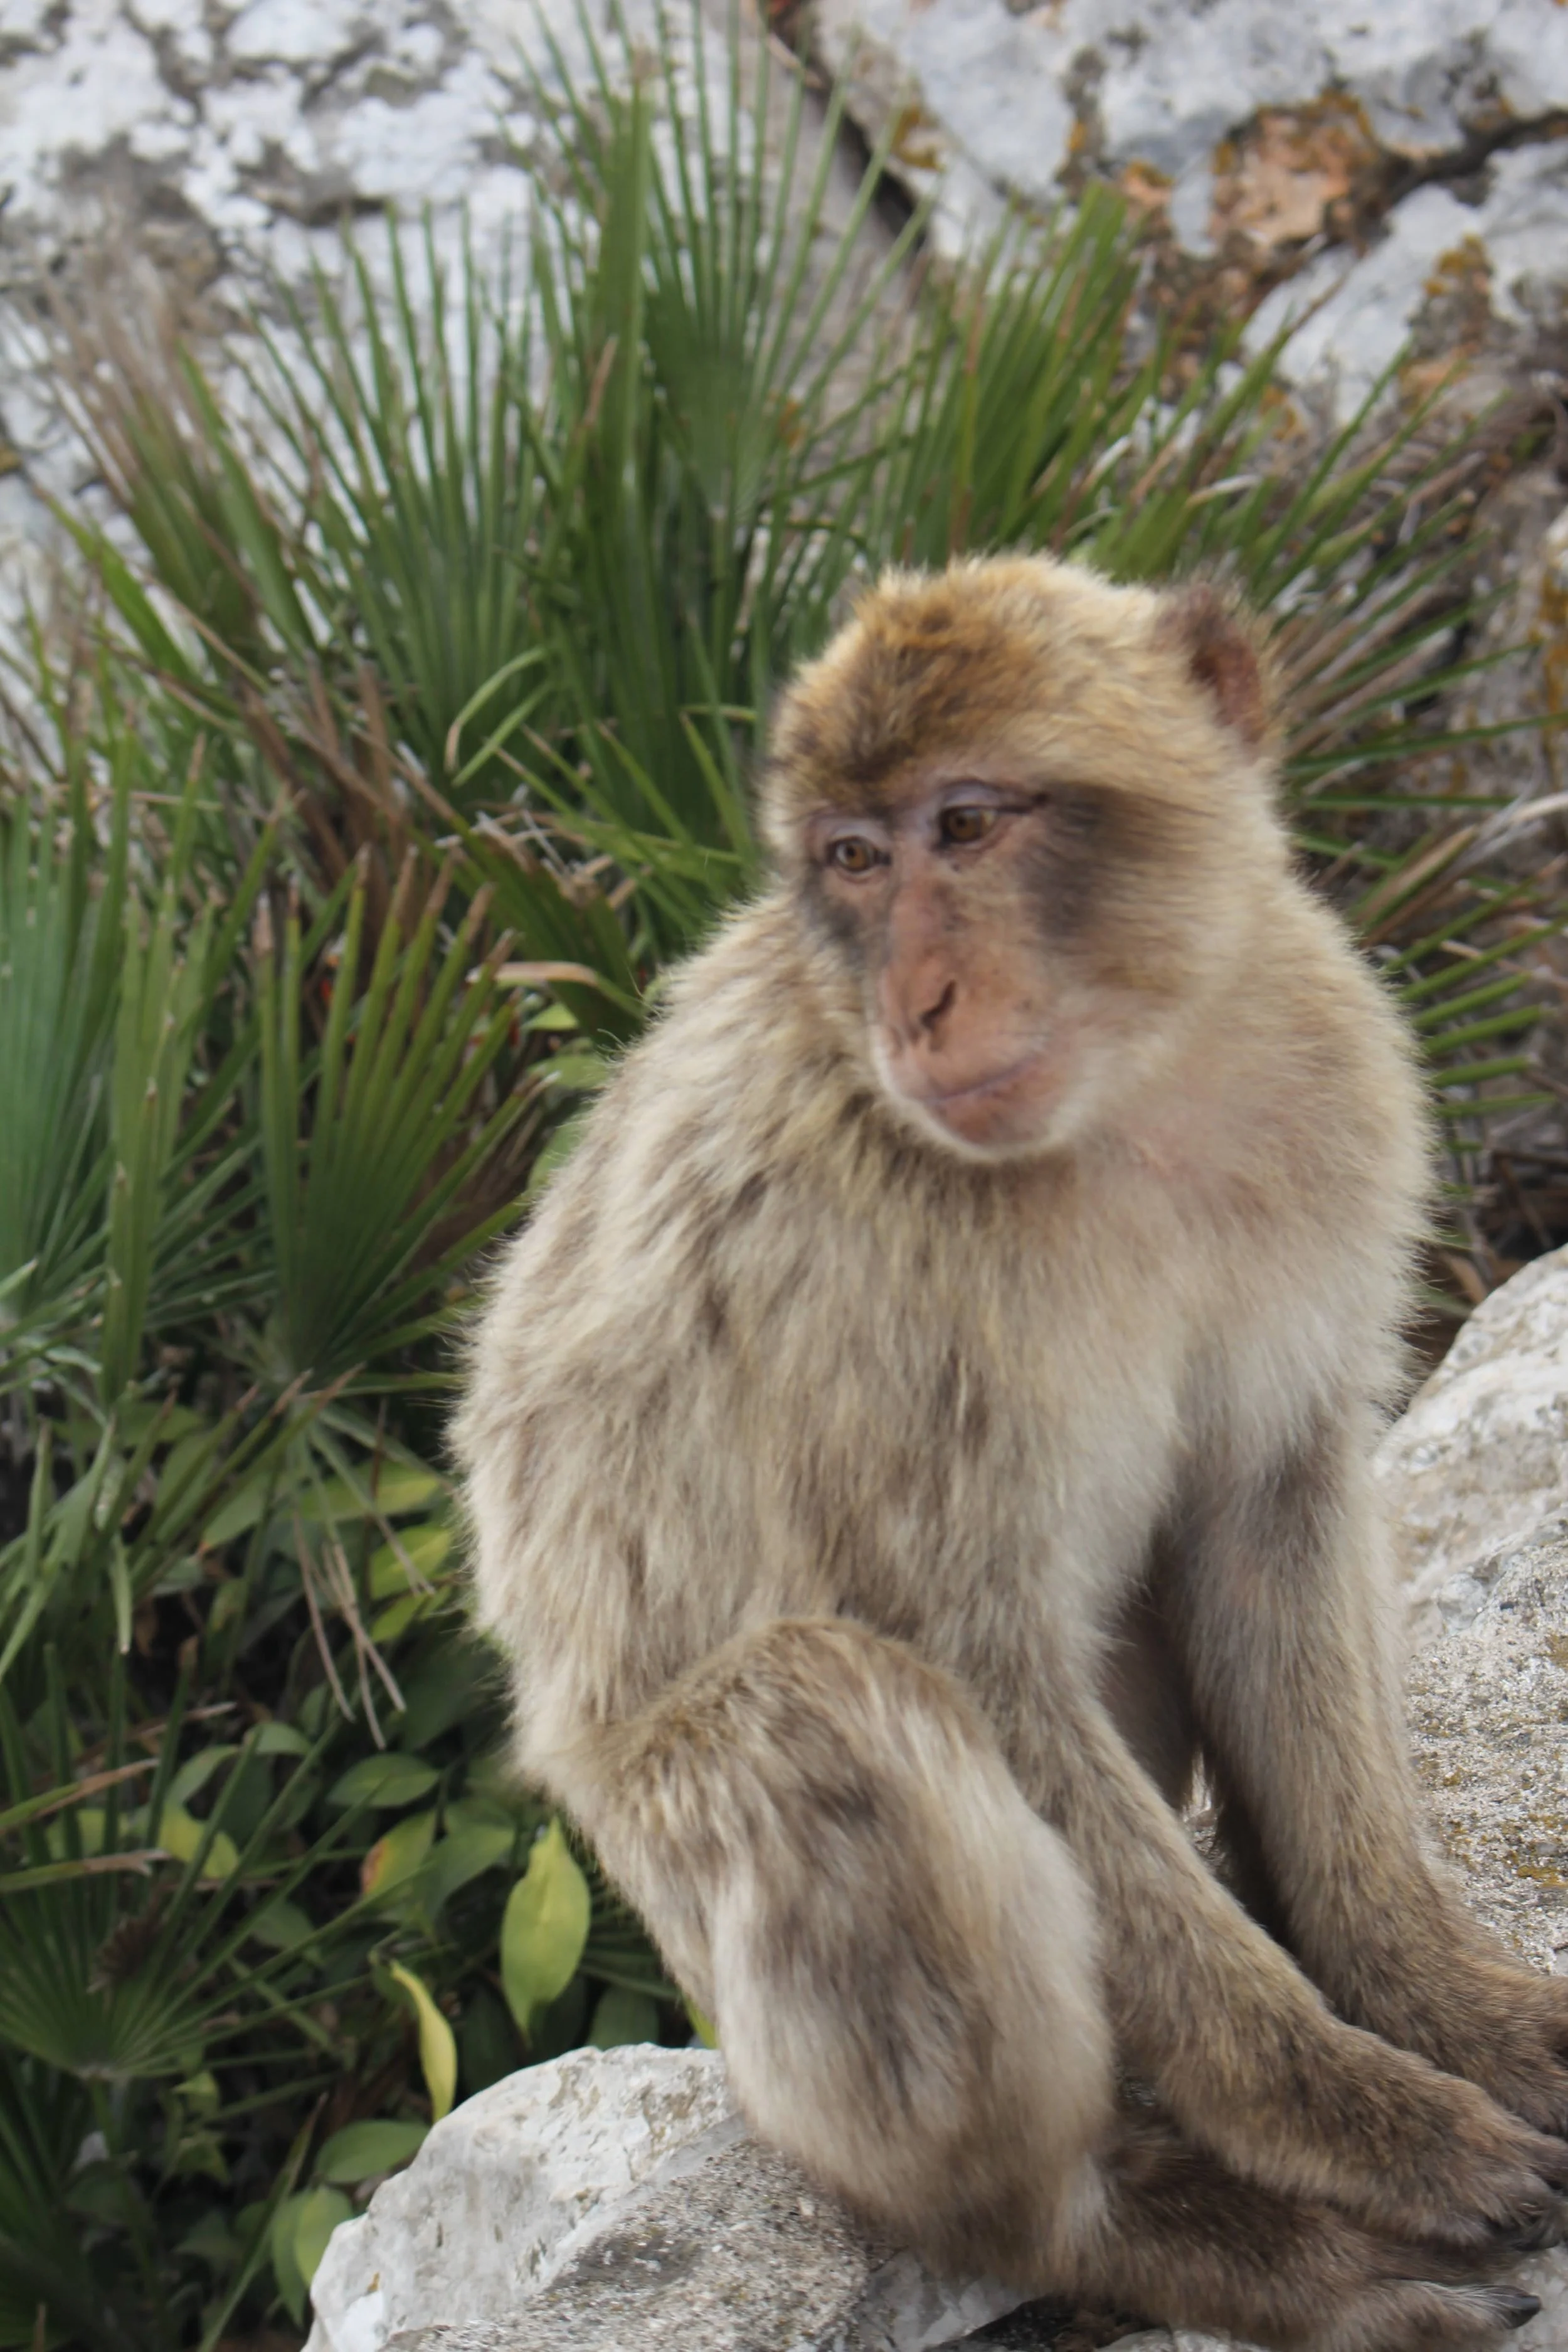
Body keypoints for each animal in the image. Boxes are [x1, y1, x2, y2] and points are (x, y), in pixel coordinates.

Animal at [455, 554, 1568, 2351]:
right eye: (853, 858)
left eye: (964, 824)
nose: (914, 1003)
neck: (1132, 1098)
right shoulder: (855, 1258)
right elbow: (975, 1663)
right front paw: (1351, 2116)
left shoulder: (1332, 1077)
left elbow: (1268, 1507)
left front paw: (1426, 1993)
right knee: (823, 1707)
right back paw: (1160, 2235)